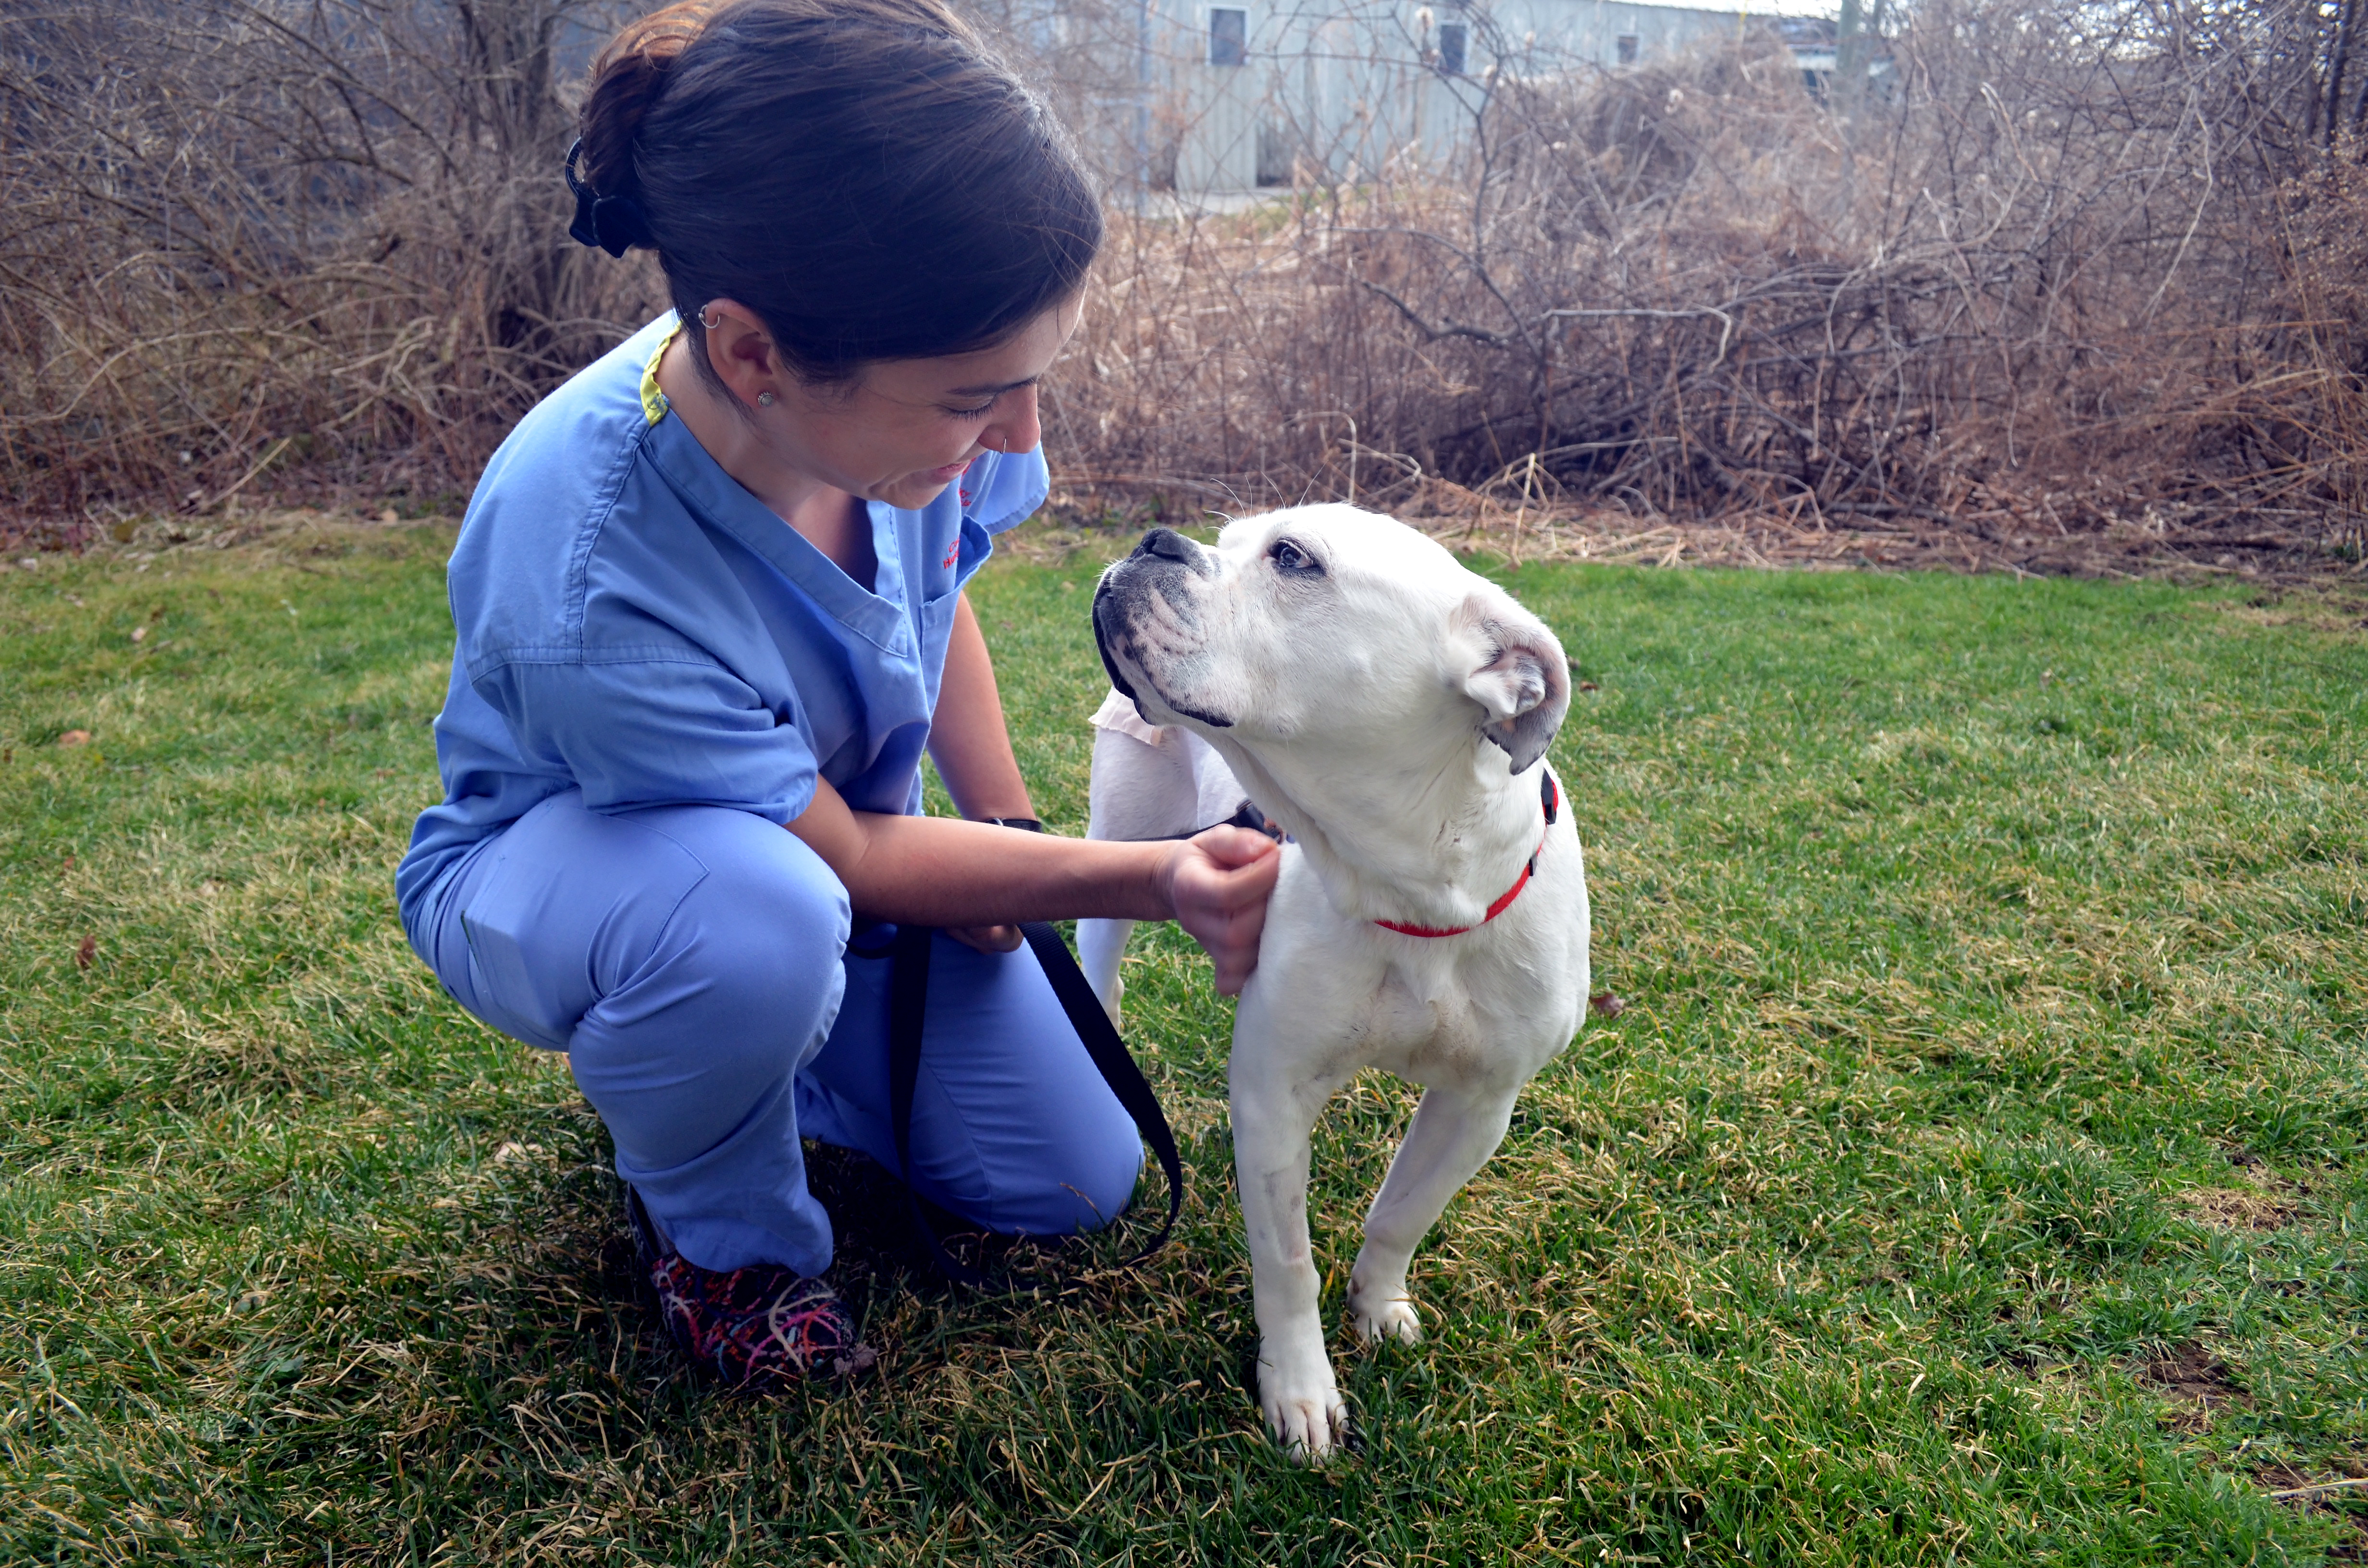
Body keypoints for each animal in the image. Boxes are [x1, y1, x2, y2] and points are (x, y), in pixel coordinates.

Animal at [1089, 509, 1591, 1468]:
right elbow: (1285, 1261)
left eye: (1293, 559)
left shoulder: (1479, 1105)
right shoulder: (1272, 1094)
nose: (1154, 540)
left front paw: (1378, 1306)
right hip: (1119, 841)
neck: (1413, 889)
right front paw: (1299, 1390)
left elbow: (1403, 1212)